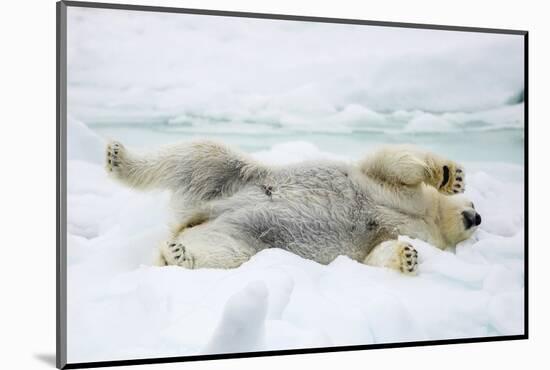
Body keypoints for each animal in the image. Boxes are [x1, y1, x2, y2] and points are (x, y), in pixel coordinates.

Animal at [104, 140, 484, 274]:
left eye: (477, 212)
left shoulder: (403, 232)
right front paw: (451, 175)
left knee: (224, 251)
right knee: (198, 155)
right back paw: (117, 156)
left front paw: (407, 257)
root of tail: (195, 218)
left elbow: (375, 253)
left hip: (243, 237)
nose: (476, 216)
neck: (428, 217)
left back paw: (177, 255)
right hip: (232, 179)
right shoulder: (393, 188)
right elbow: (393, 162)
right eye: (474, 201)